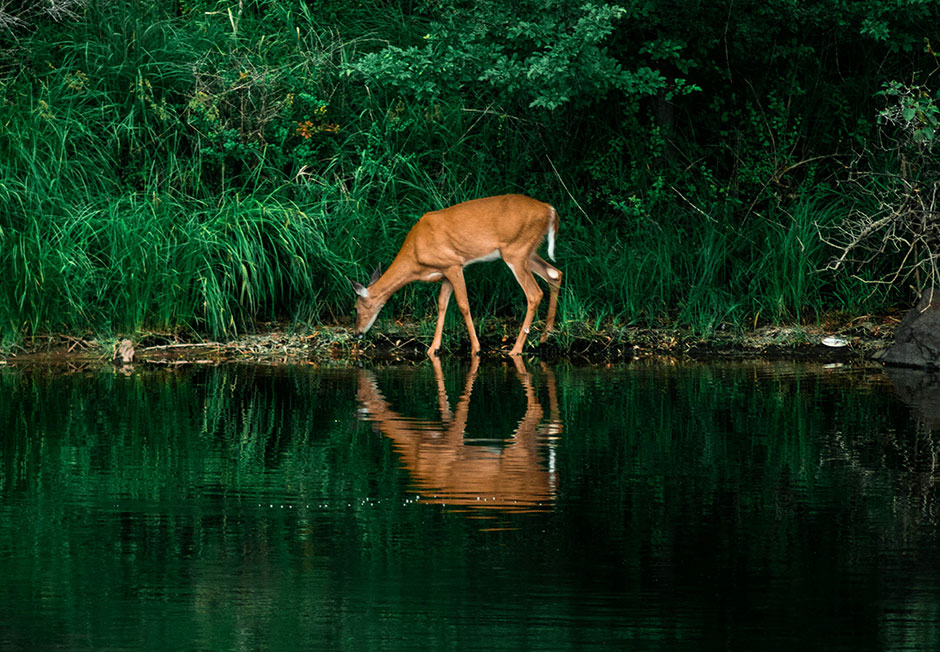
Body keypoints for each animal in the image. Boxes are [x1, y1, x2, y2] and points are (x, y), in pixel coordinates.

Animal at [350, 194, 560, 356]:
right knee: (555, 273)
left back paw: (516, 349)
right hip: (528, 252)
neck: (416, 256)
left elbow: (463, 305)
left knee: (534, 293)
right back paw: (546, 335)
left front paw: (476, 348)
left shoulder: (453, 264)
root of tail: (550, 210)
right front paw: (433, 348)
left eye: (356, 308)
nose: (357, 333)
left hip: (516, 250)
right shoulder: (445, 273)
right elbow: (442, 304)